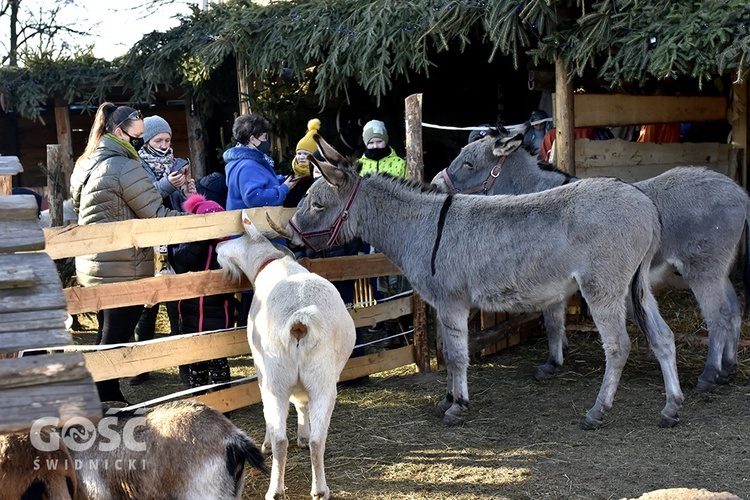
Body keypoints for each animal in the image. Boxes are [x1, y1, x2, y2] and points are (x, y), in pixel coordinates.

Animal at [217, 213, 358, 500]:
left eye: (237, 236)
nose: (217, 248)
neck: (272, 263)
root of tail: (300, 320)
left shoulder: (261, 372)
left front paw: (268, 443)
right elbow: (302, 404)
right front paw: (302, 435)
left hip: (276, 380)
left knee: (280, 438)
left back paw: (275, 489)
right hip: (323, 380)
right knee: (318, 439)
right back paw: (320, 489)